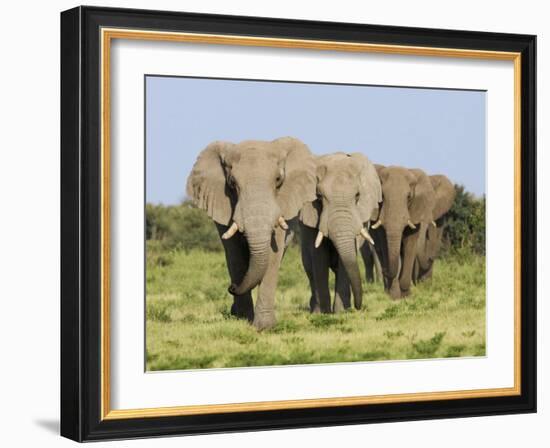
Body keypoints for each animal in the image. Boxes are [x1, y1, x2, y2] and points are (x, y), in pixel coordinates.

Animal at [187, 136, 316, 328]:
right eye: (232, 183)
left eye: (278, 179)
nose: (231, 287)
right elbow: (234, 254)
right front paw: (241, 319)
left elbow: (273, 255)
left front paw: (264, 327)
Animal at [300, 152, 382, 314]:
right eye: (319, 197)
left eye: (357, 195)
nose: (358, 307)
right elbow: (319, 257)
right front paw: (323, 313)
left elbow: (347, 259)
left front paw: (342, 312)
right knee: (309, 269)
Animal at [370, 164, 440, 298]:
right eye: (382, 196)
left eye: (408, 197)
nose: (385, 271)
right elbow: (385, 245)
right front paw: (394, 295)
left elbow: (410, 245)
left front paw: (406, 293)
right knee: (380, 251)